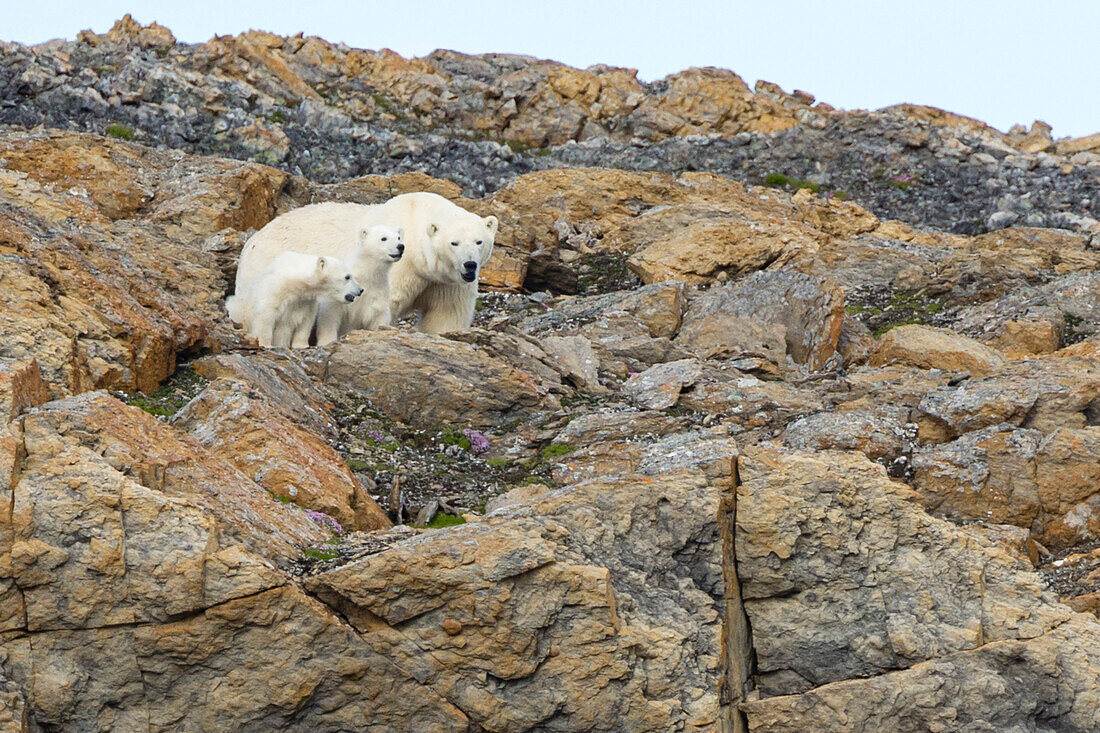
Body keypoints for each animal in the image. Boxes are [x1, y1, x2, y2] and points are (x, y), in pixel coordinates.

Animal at [225, 253, 363, 347]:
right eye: (347, 276)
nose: (360, 290)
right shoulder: (274, 291)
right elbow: (265, 316)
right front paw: (265, 344)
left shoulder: (305, 301)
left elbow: (306, 321)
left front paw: (302, 345)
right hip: (238, 309)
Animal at [238, 189, 501, 334]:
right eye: (453, 243)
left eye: (479, 241)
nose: (470, 265)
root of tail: (254, 239)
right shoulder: (395, 267)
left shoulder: (447, 282)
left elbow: (447, 314)